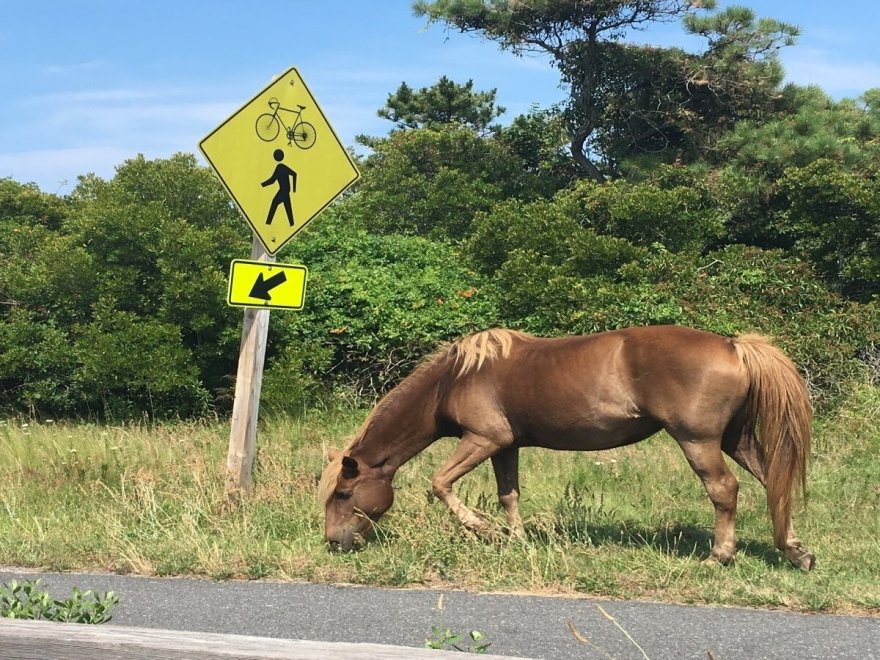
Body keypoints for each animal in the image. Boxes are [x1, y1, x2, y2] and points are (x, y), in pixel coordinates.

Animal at [320, 324, 816, 568]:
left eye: (343, 493)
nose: (334, 543)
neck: (454, 378)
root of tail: (733, 346)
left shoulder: (483, 439)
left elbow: (439, 483)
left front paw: (483, 531)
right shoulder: (506, 446)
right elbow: (509, 495)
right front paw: (517, 540)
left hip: (699, 442)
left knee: (724, 491)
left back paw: (720, 556)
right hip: (735, 440)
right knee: (773, 483)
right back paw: (795, 551)